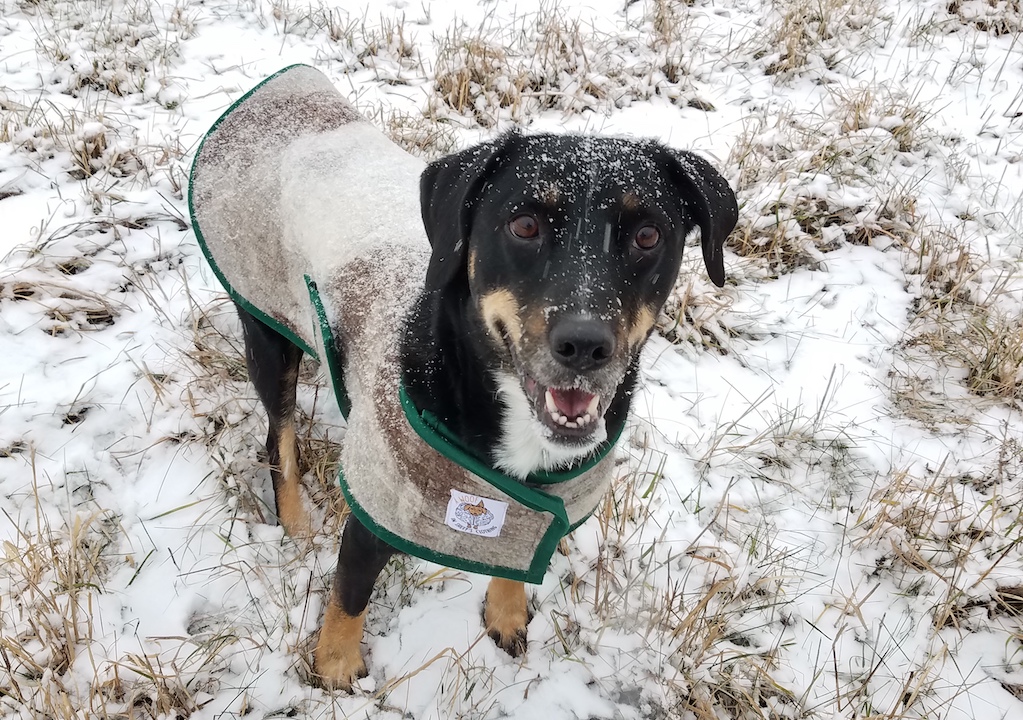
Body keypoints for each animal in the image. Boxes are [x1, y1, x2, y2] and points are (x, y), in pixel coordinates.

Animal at [190, 65, 736, 691]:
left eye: (648, 236)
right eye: (523, 224)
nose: (585, 344)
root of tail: (273, 89)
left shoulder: (536, 516)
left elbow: (515, 563)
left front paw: (506, 614)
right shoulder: (376, 510)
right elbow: (350, 593)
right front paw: (335, 668)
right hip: (266, 327)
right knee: (276, 435)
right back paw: (297, 520)